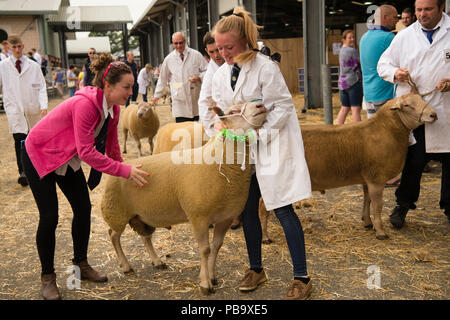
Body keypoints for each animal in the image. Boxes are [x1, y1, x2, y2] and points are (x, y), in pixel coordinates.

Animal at [102, 101, 268, 294]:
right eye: (233, 111)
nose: (260, 105)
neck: (220, 164)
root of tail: (122, 166)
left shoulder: (225, 218)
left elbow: (217, 247)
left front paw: (212, 276)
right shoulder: (198, 216)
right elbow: (205, 249)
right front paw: (205, 283)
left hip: (143, 215)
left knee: (145, 237)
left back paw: (157, 261)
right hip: (117, 212)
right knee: (113, 235)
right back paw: (126, 265)